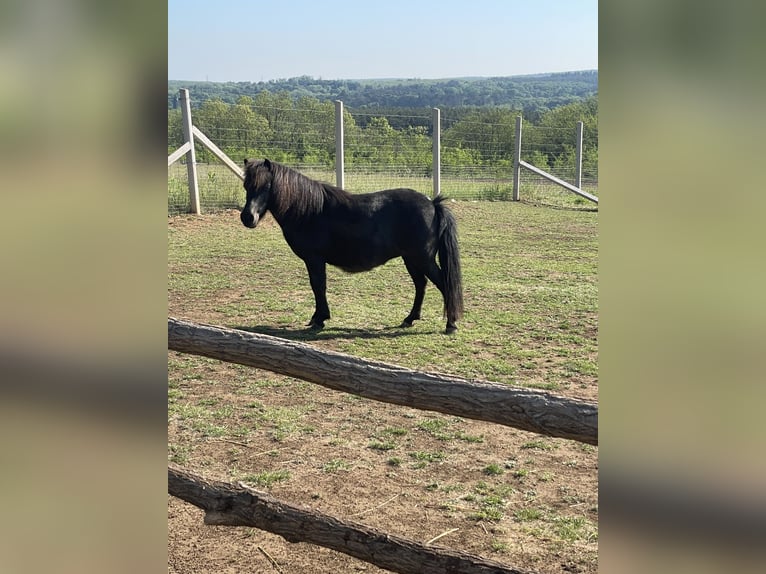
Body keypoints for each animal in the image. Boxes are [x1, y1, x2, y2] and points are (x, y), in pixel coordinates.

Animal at [239, 159, 464, 334]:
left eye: (267, 186)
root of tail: (432, 204)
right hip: (411, 259)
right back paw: (410, 319)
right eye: (246, 186)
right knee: (421, 285)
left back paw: (451, 324)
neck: (309, 211)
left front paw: (319, 319)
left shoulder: (314, 260)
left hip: (422, 259)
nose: (248, 217)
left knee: (443, 283)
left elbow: (318, 286)